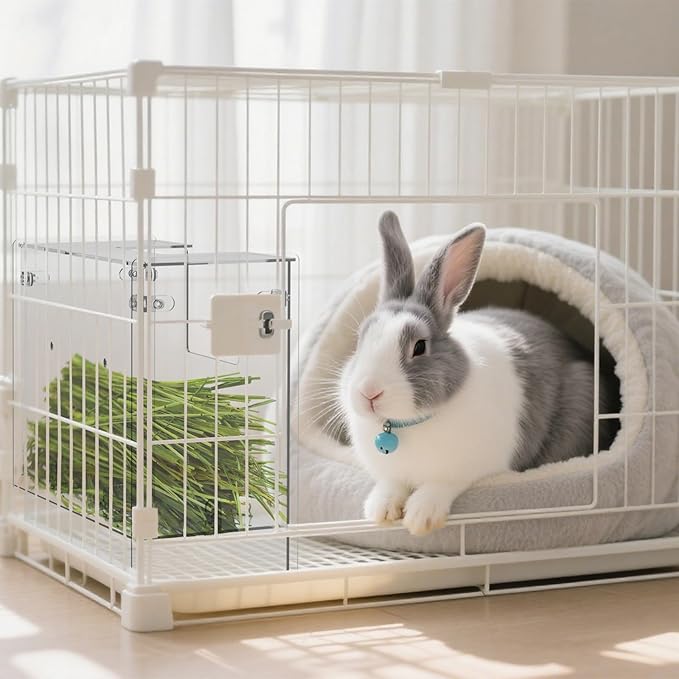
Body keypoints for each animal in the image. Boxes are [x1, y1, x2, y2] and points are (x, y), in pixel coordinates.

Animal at [339, 211, 618, 536]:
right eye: (361, 339)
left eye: (419, 347)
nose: (368, 392)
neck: (403, 425)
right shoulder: (391, 473)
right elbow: (391, 484)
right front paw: (380, 511)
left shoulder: (469, 467)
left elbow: (441, 484)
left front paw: (420, 517)